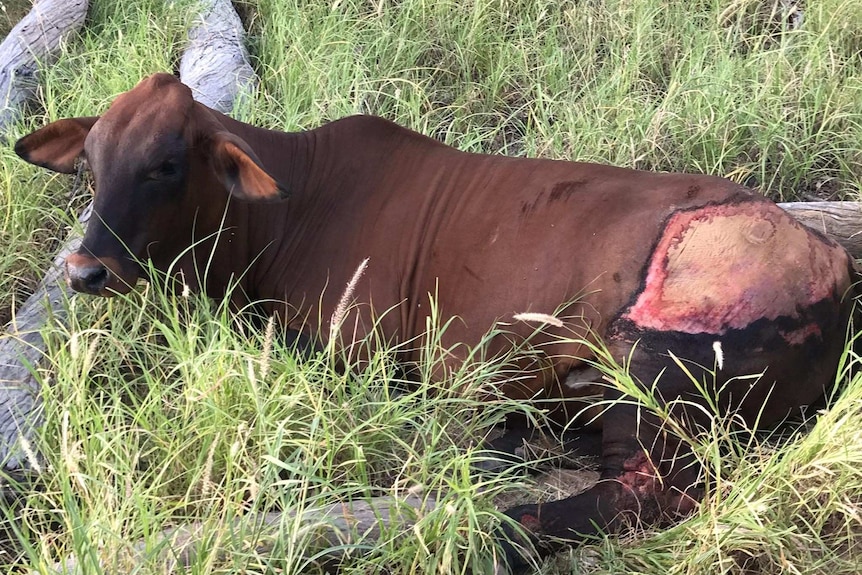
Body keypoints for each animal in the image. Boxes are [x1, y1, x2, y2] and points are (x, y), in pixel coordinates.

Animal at [13, 73, 856, 572]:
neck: (281, 218)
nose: (85, 271)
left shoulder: (359, 355)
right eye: (89, 161)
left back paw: (486, 521)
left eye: (165, 164)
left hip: (647, 377)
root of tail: (829, 266)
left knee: (635, 496)